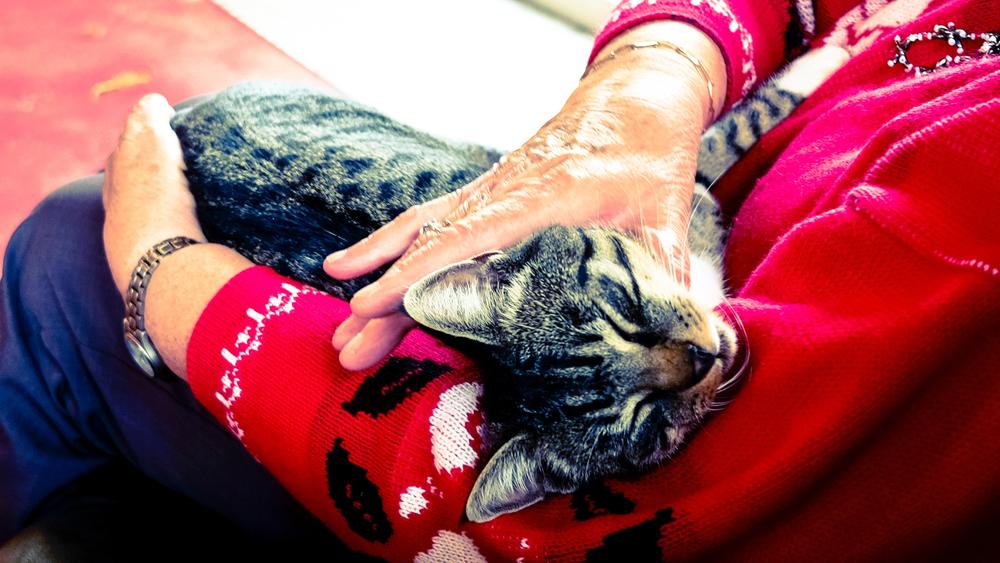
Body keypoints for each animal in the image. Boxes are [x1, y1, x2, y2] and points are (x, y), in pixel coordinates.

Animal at [170, 45, 844, 524]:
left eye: (623, 307)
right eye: (643, 422)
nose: (702, 356)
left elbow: (738, 121)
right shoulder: (689, 186)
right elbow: (743, 122)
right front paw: (836, 52)